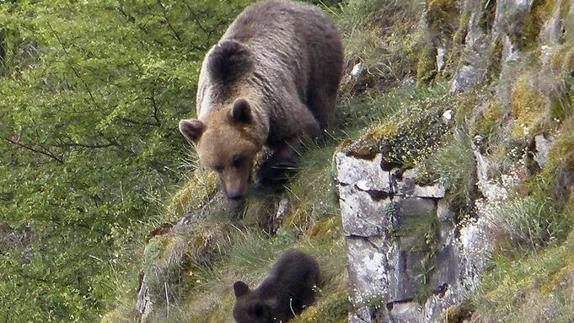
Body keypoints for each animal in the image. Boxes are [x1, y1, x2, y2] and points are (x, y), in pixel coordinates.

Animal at [178, 0, 344, 200]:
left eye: (237, 158)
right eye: (215, 165)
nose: (234, 194)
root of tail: (303, 5)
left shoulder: (276, 106)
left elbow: (303, 129)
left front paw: (264, 174)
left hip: (316, 53)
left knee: (322, 95)